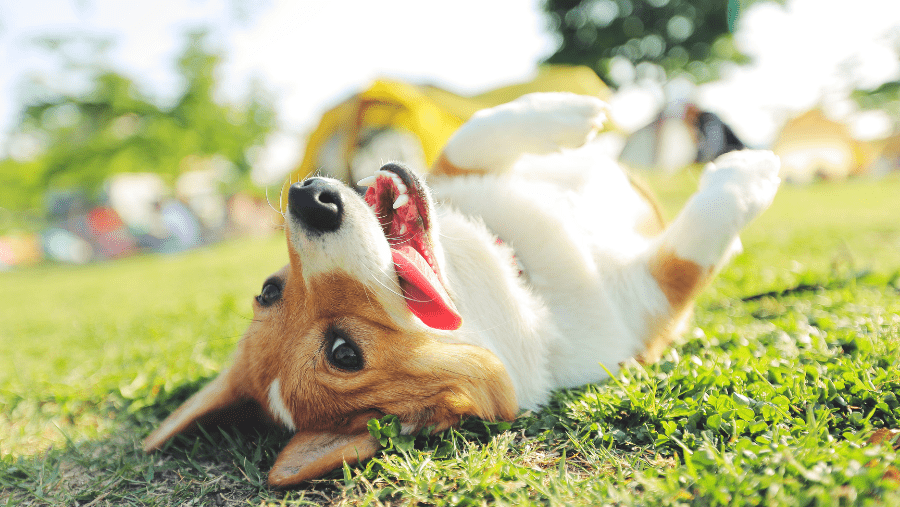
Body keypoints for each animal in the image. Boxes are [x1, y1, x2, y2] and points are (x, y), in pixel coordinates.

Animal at [142, 92, 780, 488]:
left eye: (268, 289)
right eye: (343, 353)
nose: (308, 199)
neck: (520, 272)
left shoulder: (454, 173)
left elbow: (473, 136)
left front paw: (570, 112)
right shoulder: (647, 301)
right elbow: (692, 249)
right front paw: (747, 173)